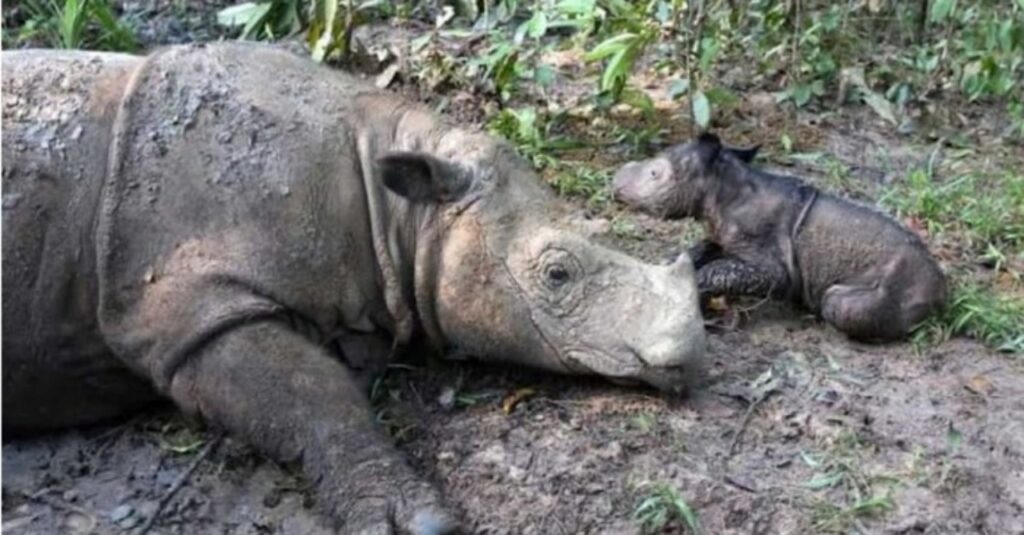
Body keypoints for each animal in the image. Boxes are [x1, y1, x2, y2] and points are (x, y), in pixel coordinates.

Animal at [2, 43, 704, 528]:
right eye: (557, 275)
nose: (688, 350)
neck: (394, 207)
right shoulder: (185, 312)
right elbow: (313, 393)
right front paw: (416, 520)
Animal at [610, 134, 946, 342]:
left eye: (654, 174)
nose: (615, 181)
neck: (719, 185)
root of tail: (943, 289)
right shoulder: (723, 235)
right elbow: (703, 250)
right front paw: (668, 267)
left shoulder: (775, 269)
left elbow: (719, 270)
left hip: (897, 284)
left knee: (836, 303)